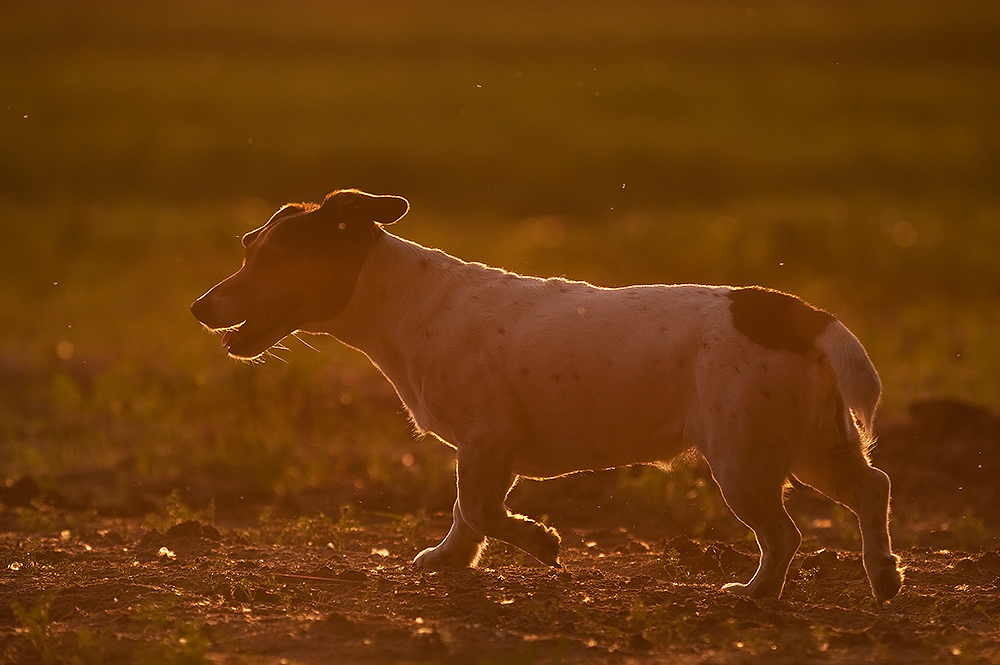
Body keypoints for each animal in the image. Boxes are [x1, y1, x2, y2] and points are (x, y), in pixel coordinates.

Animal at [189, 188, 908, 600]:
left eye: (274, 258)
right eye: (248, 247)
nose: (199, 307)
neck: (404, 301)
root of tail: (794, 312)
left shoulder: (487, 438)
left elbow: (481, 511)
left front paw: (539, 543)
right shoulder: (489, 450)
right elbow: (466, 513)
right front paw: (450, 560)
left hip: (744, 463)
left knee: (784, 534)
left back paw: (756, 593)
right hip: (812, 449)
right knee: (874, 488)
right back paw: (882, 574)